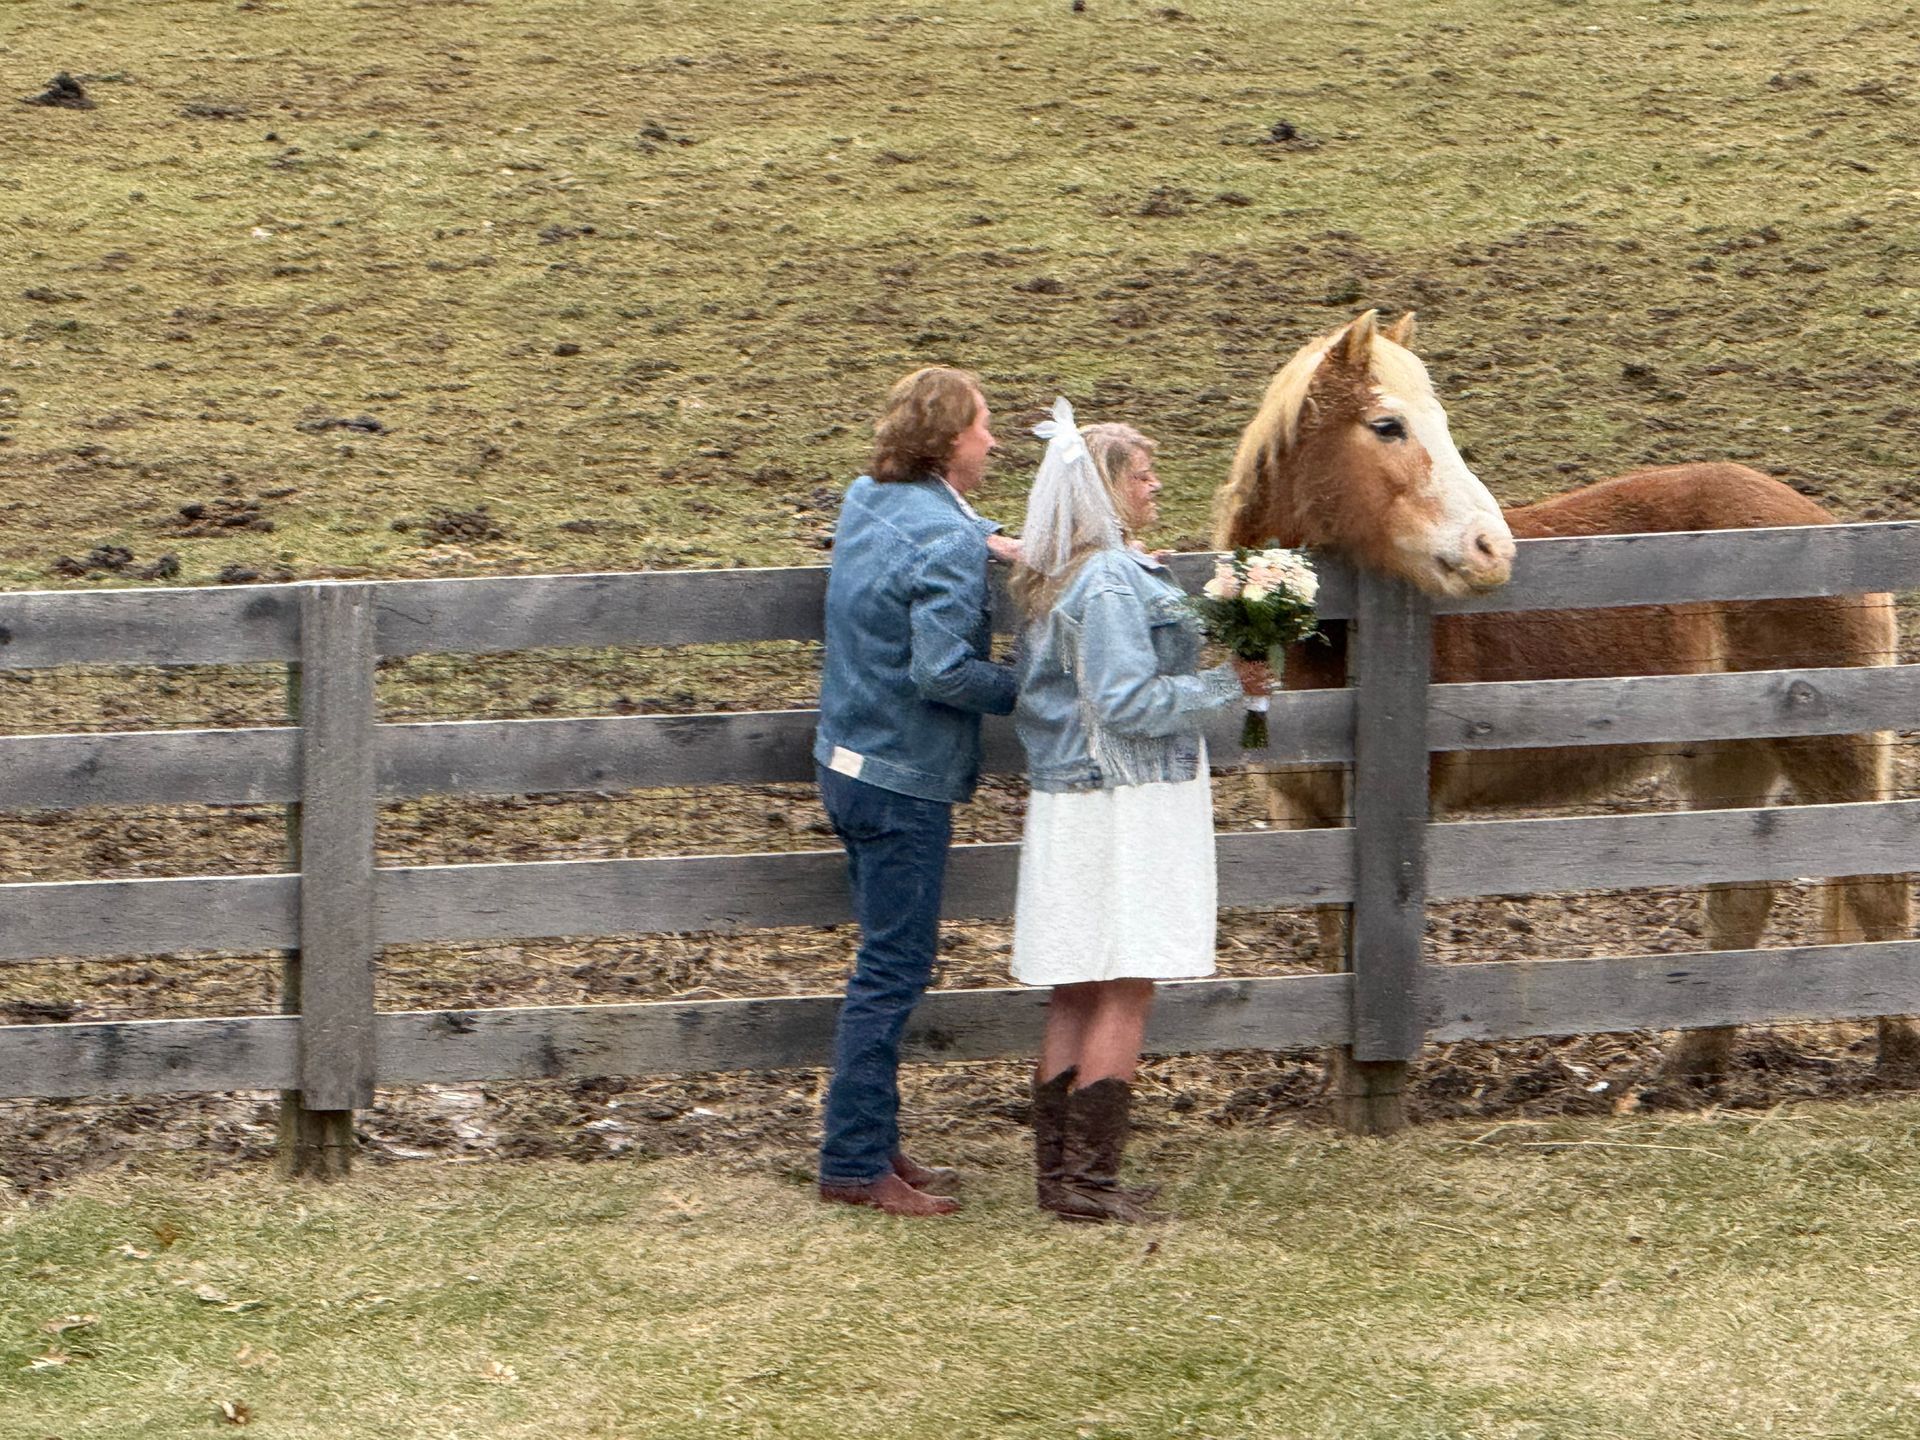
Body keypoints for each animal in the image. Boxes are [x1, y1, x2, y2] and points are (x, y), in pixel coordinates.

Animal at [1214, 309, 1911, 1106]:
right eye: (1387, 426)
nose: (1491, 550)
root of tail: (1824, 527)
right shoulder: (1301, 811)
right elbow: (1334, 945)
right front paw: (1341, 1088)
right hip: (1728, 762)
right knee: (1740, 900)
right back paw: (1688, 1067)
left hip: (1833, 751)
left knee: (1877, 888)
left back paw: (1898, 1056)